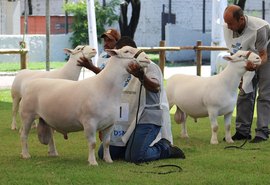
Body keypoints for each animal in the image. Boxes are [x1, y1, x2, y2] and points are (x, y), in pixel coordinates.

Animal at [18, 46, 151, 165]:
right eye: (127, 51)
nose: (147, 58)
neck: (105, 88)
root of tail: (30, 83)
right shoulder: (89, 122)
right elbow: (92, 143)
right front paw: (92, 162)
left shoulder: (110, 124)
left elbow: (107, 143)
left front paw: (109, 160)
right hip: (27, 115)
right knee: (23, 135)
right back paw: (25, 154)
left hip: (47, 119)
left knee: (50, 136)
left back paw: (53, 153)